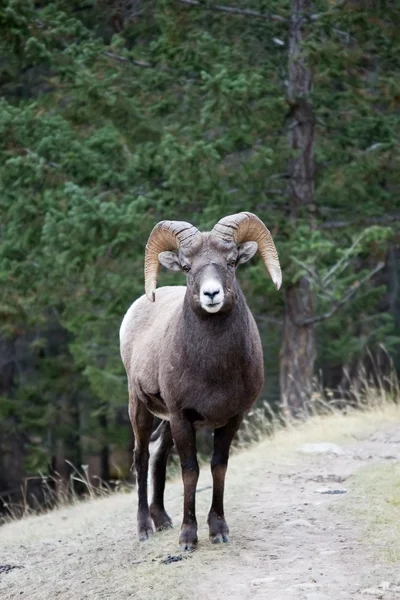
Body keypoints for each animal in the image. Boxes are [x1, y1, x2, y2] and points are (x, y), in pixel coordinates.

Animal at [119, 211, 282, 548]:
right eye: (186, 267)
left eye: (231, 262)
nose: (211, 294)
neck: (214, 371)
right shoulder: (183, 417)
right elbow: (190, 471)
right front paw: (188, 537)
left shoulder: (232, 418)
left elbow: (218, 467)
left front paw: (218, 530)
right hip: (139, 406)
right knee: (142, 457)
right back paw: (145, 528)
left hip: (166, 421)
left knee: (158, 454)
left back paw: (162, 520)